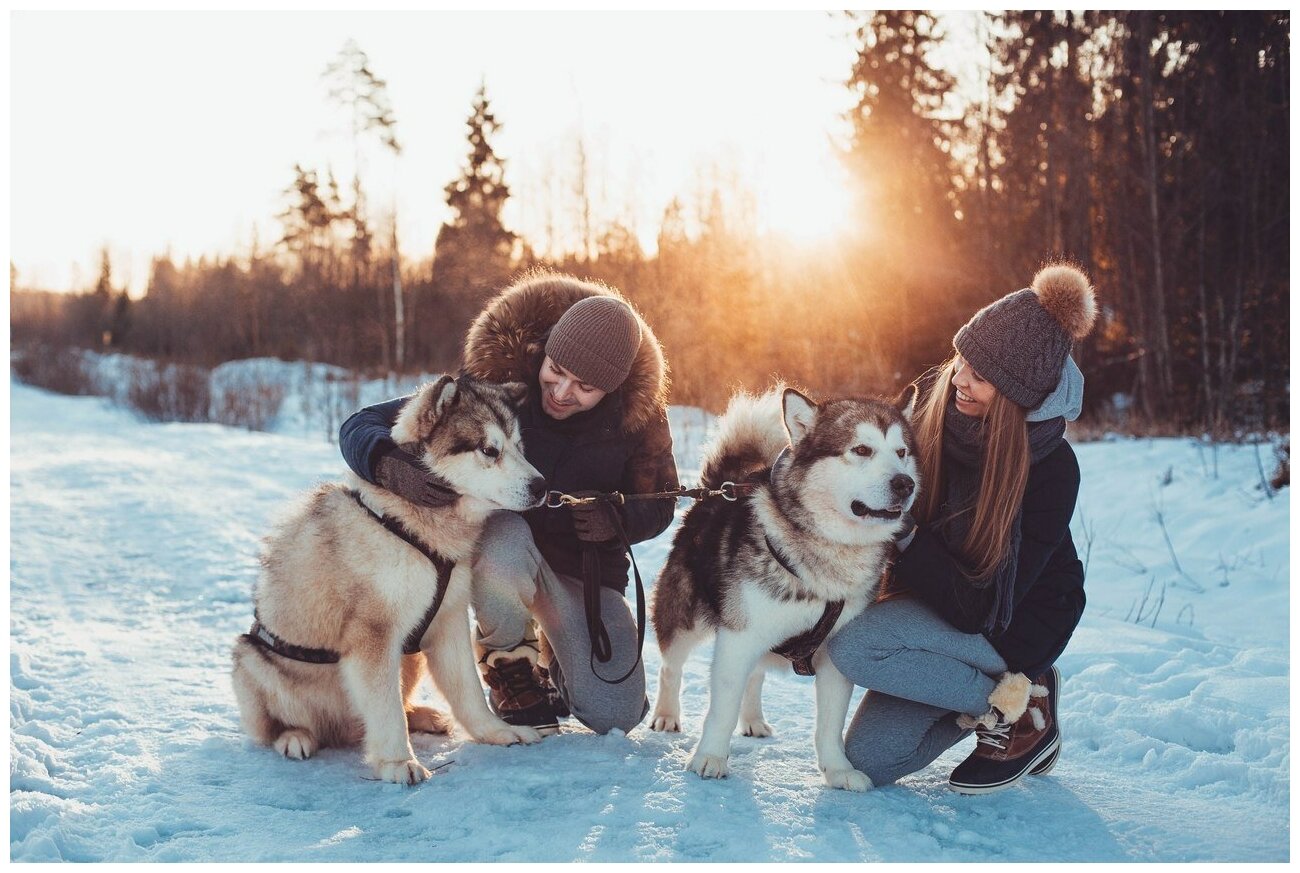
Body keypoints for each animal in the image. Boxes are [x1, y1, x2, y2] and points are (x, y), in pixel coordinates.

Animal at [233, 374, 548, 784]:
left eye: (519, 446)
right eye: (488, 449)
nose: (542, 486)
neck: (417, 528)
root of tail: (342, 730)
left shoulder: (447, 620)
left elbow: (468, 690)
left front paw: (496, 731)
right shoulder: (374, 635)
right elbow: (387, 710)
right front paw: (398, 762)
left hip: (409, 657)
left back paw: (424, 716)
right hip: (251, 657)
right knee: (277, 726)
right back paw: (295, 737)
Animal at [647, 384, 915, 789]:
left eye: (901, 452)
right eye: (861, 450)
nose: (905, 484)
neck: (827, 555)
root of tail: (720, 488)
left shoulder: (835, 654)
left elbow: (830, 724)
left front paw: (838, 769)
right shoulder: (738, 638)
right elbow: (722, 708)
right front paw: (710, 756)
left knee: (755, 676)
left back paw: (754, 720)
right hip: (686, 619)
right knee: (671, 667)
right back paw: (666, 714)